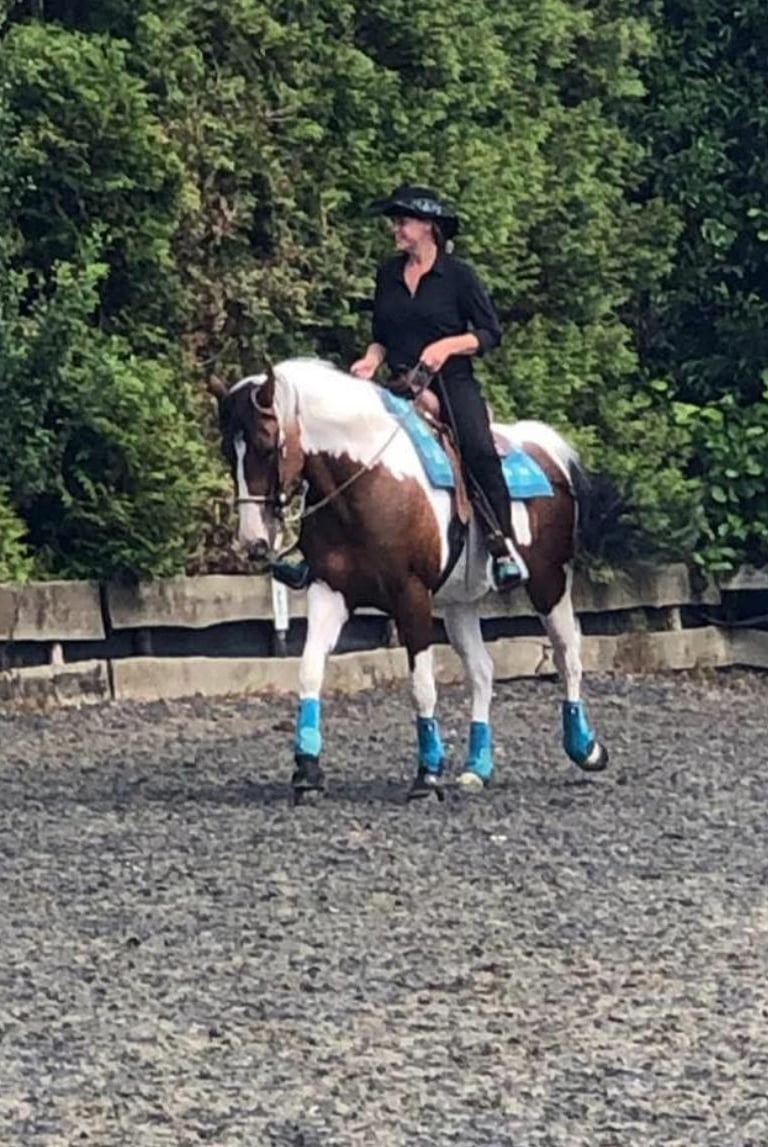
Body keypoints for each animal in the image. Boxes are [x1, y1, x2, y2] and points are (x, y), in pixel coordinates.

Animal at [210, 356, 609, 802]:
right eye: (227, 450)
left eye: (265, 445)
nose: (253, 542)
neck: (369, 479)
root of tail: (544, 449)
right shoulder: (329, 591)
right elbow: (310, 669)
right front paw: (307, 770)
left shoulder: (411, 595)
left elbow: (421, 684)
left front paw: (428, 774)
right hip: (459, 604)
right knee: (483, 671)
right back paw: (477, 767)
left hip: (549, 583)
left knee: (567, 654)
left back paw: (585, 748)